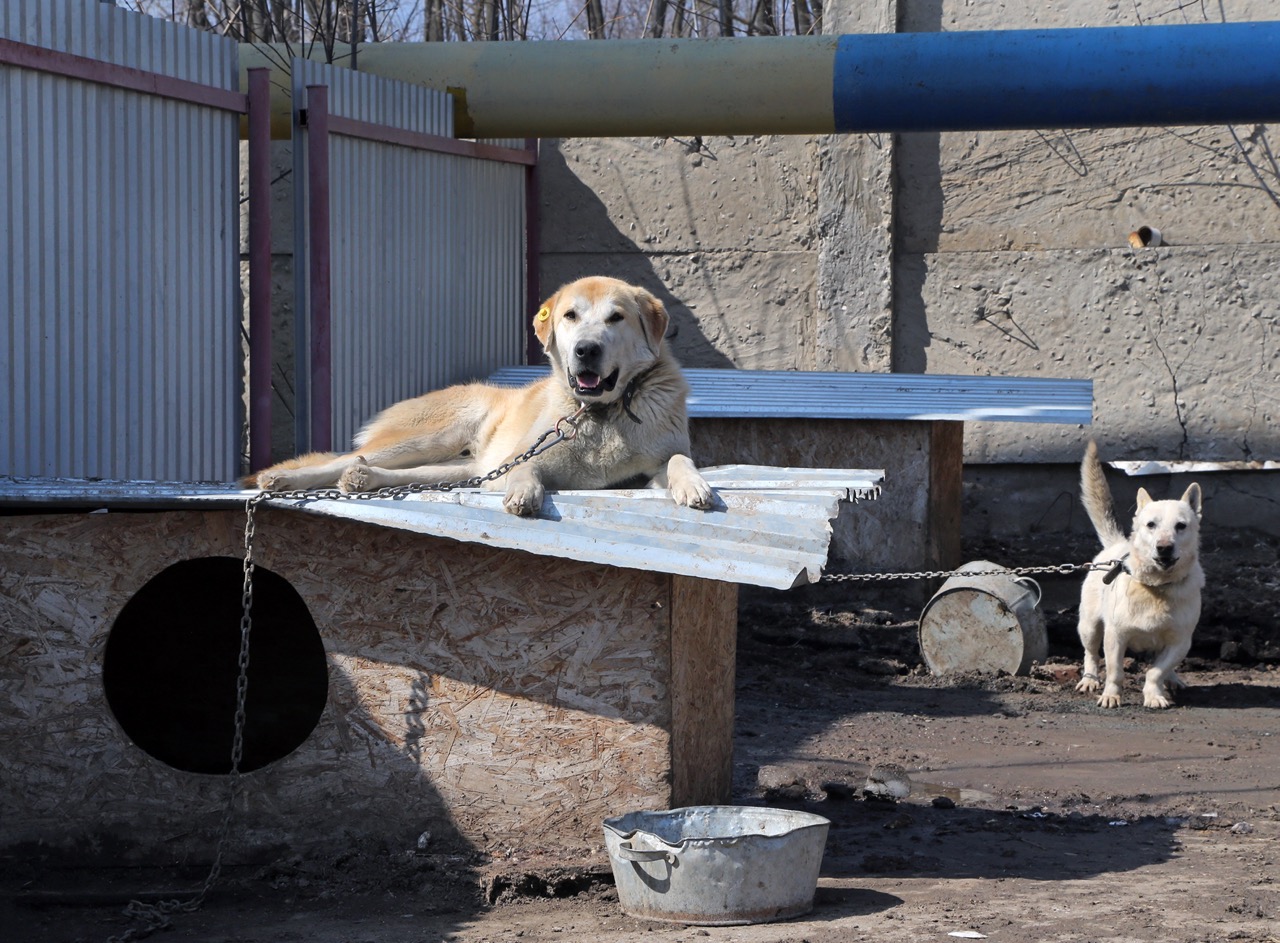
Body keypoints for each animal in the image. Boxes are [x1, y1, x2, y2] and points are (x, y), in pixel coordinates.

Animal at [244, 276, 716, 519]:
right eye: (570, 316)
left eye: (616, 318)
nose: (586, 349)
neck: (598, 414)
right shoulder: (526, 457)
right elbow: (527, 472)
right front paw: (525, 495)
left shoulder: (657, 461)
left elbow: (678, 460)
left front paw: (694, 485)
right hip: (430, 438)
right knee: (342, 458)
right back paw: (282, 480)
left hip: (460, 467)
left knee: (385, 471)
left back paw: (362, 480)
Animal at [1075, 440, 1203, 706]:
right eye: (1150, 525)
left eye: (1181, 526)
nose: (1164, 547)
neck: (1156, 587)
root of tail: (1116, 543)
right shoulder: (1115, 637)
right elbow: (1114, 671)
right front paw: (1111, 696)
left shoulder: (1180, 642)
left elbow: (1156, 671)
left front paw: (1154, 695)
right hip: (1089, 626)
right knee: (1090, 653)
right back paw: (1090, 679)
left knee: (1165, 668)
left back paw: (1173, 680)